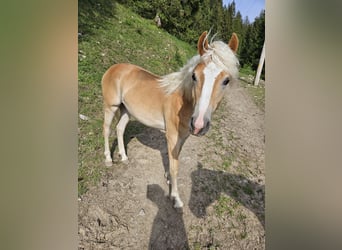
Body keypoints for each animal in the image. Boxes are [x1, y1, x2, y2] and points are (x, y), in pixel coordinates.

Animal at [102, 30, 240, 207]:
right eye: (194, 76)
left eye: (226, 80)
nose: (199, 125)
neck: (182, 100)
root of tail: (113, 67)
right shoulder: (173, 135)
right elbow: (175, 167)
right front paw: (175, 198)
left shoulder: (183, 137)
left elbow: (174, 160)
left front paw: (168, 178)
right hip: (110, 107)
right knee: (107, 130)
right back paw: (108, 159)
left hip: (126, 110)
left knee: (119, 129)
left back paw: (124, 157)